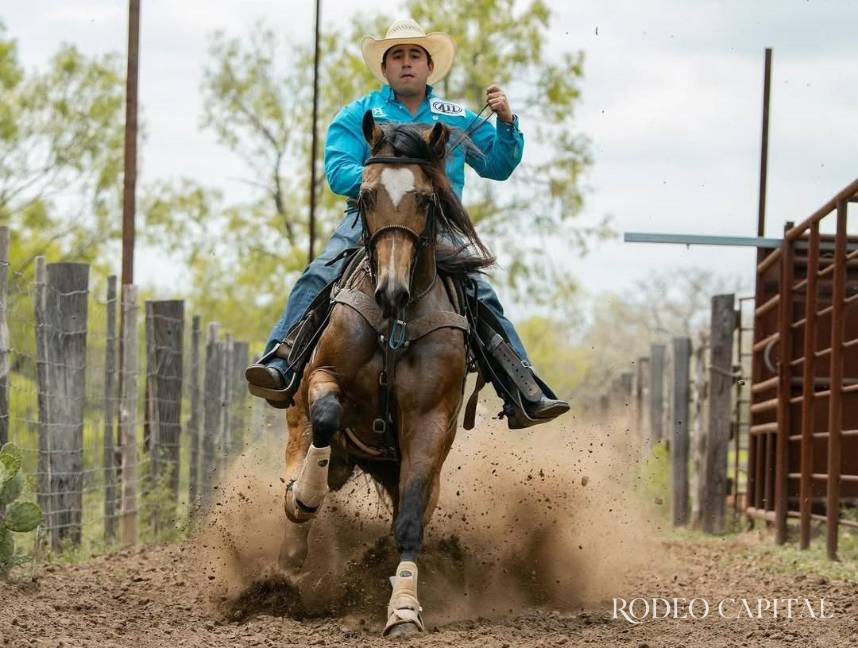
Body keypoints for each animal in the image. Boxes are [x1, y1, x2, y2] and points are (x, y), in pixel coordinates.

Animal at [276, 111, 494, 636]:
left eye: (426, 199)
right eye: (366, 195)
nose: (392, 289)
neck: (393, 323)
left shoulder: (429, 424)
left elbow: (410, 520)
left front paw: (404, 609)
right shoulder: (323, 377)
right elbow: (327, 415)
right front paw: (306, 498)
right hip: (302, 423)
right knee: (300, 461)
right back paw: (291, 549)